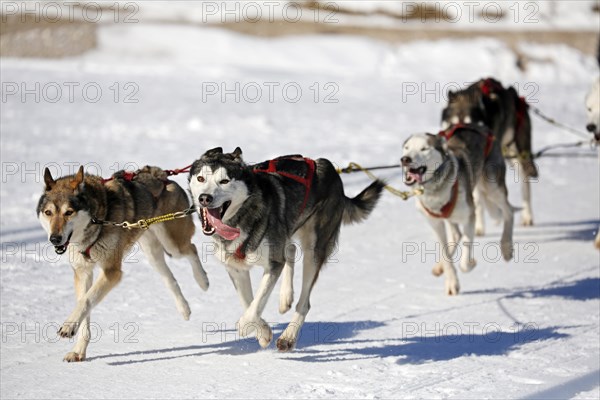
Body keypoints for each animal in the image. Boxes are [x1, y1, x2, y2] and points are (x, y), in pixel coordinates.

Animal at [189, 147, 384, 350]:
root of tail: (330, 169)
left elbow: (257, 302)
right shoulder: (236, 269)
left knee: (304, 302)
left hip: (314, 250)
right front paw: (263, 331)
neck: (240, 217)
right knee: (290, 250)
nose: (205, 198)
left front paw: (244, 325)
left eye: (224, 181)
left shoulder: (273, 263)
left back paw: (289, 336)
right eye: (201, 178)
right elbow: (249, 302)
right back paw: (285, 298)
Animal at [400, 126, 512, 296]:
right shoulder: (435, 223)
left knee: (509, 211)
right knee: (456, 235)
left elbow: (465, 260)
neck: (435, 190)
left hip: (493, 189)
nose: (405, 159)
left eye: (424, 148)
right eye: (407, 147)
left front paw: (471, 263)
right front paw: (451, 281)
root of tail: (481, 127)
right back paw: (439, 267)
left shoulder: (469, 217)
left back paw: (506, 246)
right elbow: (446, 254)